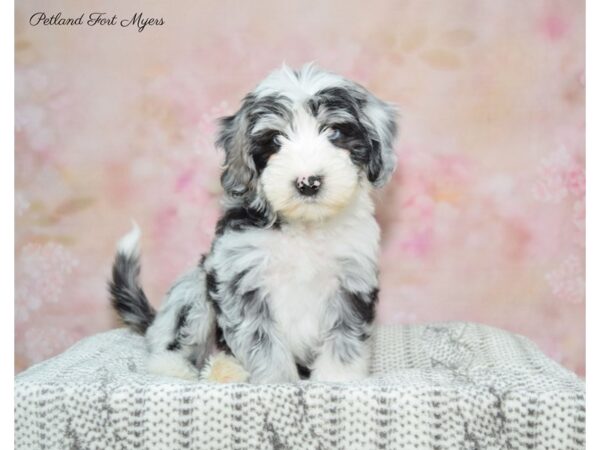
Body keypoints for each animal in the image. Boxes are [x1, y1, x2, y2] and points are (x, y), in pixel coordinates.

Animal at [108, 64, 398, 384]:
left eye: (334, 131)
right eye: (275, 140)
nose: (308, 182)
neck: (304, 227)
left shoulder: (352, 281)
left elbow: (344, 340)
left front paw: (336, 380)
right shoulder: (241, 280)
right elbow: (263, 343)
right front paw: (277, 382)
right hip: (194, 289)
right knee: (172, 345)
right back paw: (182, 368)